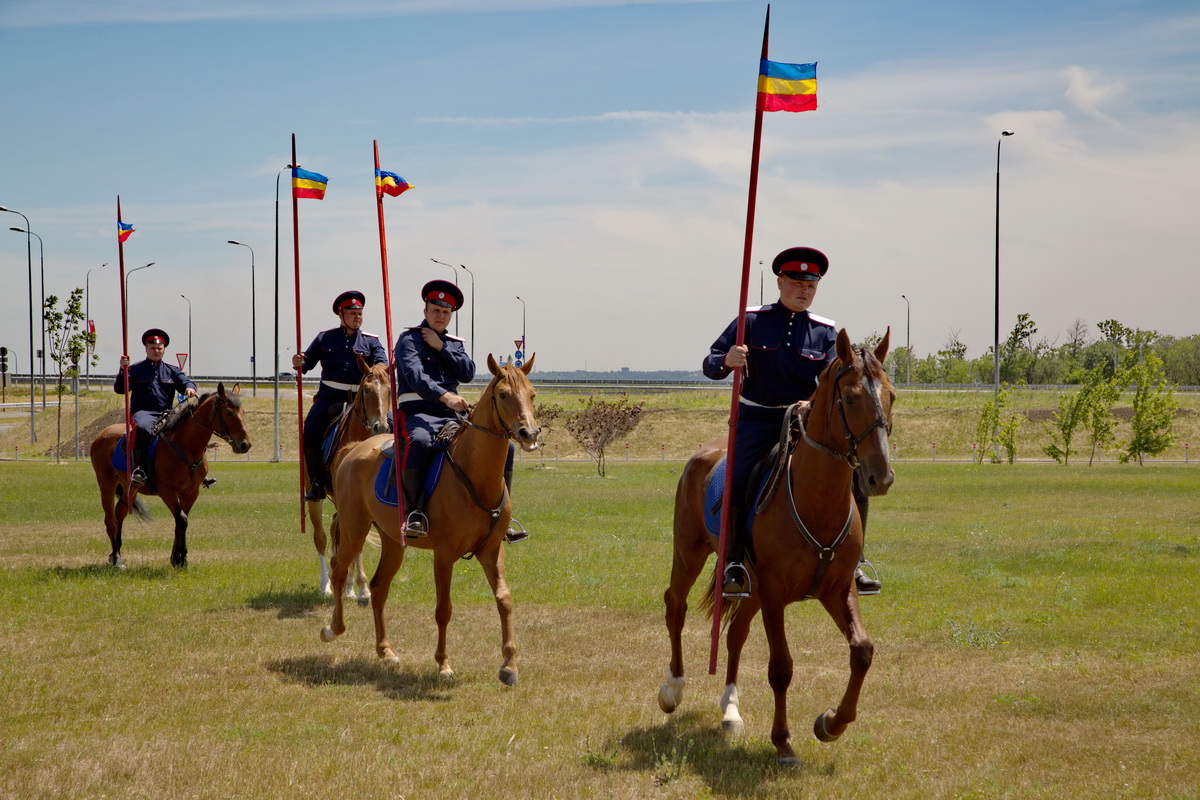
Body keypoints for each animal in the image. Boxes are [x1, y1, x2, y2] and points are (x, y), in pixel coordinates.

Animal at [88, 383, 250, 566]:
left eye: (243, 412)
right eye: (229, 413)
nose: (245, 444)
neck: (186, 446)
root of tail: (102, 434)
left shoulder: (191, 493)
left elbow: (181, 521)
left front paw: (177, 557)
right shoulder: (168, 493)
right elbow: (182, 520)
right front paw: (180, 558)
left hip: (130, 487)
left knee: (119, 513)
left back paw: (116, 553)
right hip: (107, 484)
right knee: (110, 520)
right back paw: (116, 558)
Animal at [304, 352, 388, 604]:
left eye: (389, 390)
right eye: (366, 390)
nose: (381, 427)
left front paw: (357, 586)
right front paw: (361, 588)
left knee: (338, 530)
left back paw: (346, 585)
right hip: (315, 497)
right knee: (321, 537)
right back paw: (326, 585)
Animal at [321, 357, 542, 690]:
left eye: (531, 393)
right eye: (503, 394)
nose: (529, 433)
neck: (474, 473)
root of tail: (353, 449)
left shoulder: (492, 550)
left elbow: (504, 600)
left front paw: (509, 665)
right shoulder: (444, 555)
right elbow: (443, 609)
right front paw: (443, 664)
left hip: (392, 542)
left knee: (379, 587)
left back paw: (385, 651)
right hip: (353, 530)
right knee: (337, 570)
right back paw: (333, 629)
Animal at [657, 328, 892, 767]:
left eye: (891, 395)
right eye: (851, 397)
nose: (880, 476)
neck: (816, 499)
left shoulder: (837, 590)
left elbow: (862, 651)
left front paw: (831, 723)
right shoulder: (774, 595)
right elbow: (781, 667)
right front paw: (783, 743)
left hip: (747, 586)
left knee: (734, 634)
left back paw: (731, 710)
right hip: (689, 554)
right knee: (675, 607)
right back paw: (673, 688)